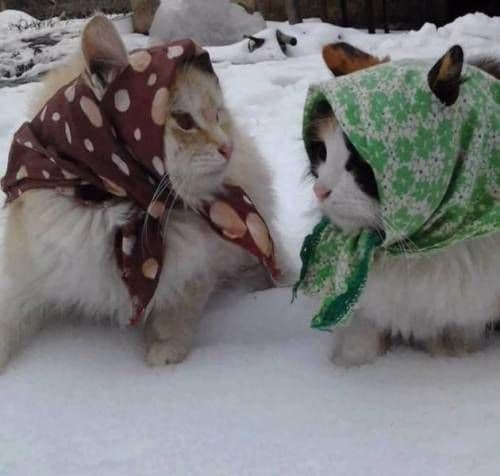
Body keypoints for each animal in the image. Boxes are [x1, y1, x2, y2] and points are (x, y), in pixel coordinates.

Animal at [0, 14, 290, 370]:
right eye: (183, 120)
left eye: (217, 116)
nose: (227, 147)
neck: (118, 206)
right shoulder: (23, 278)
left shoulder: (198, 266)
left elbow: (176, 310)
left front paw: (165, 351)